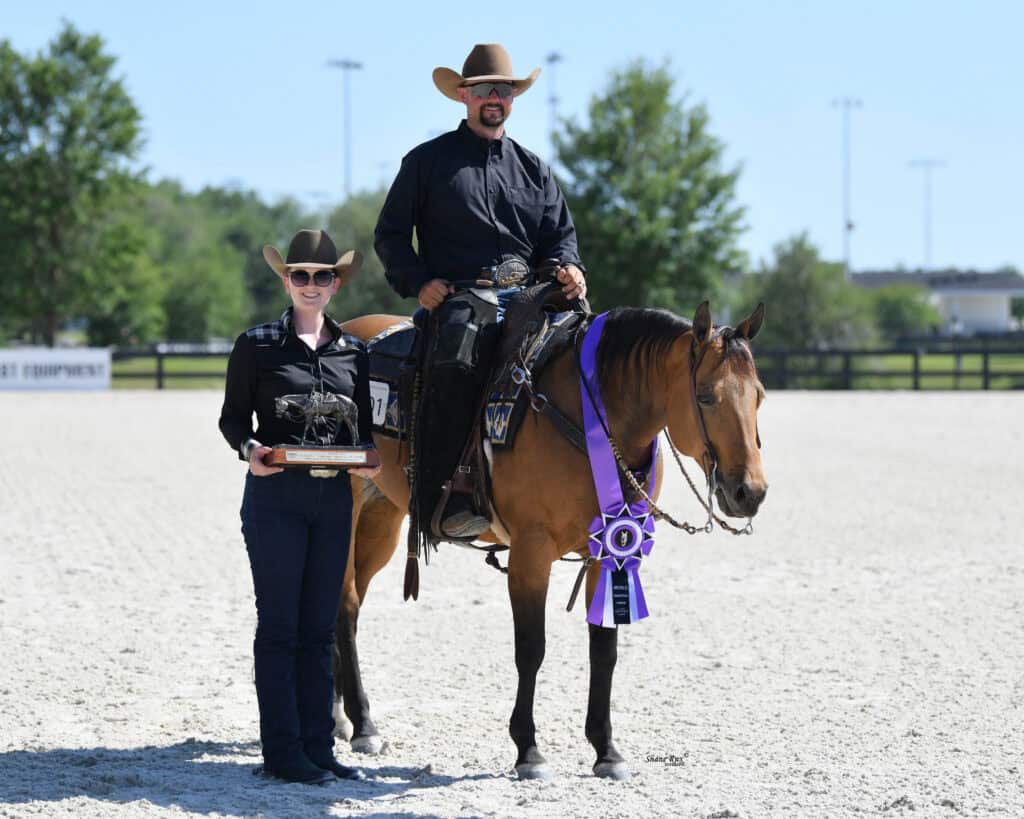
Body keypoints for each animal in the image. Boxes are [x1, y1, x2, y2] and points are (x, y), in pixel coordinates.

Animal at [334, 301, 768, 780]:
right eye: (707, 396)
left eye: (760, 396)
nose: (750, 492)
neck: (589, 416)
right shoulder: (531, 552)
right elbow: (531, 649)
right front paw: (528, 750)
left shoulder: (611, 551)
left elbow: (604, 649)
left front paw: (606, 750)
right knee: (346, 606)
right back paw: (363, 725)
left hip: (381, 521)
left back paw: (340, 720)